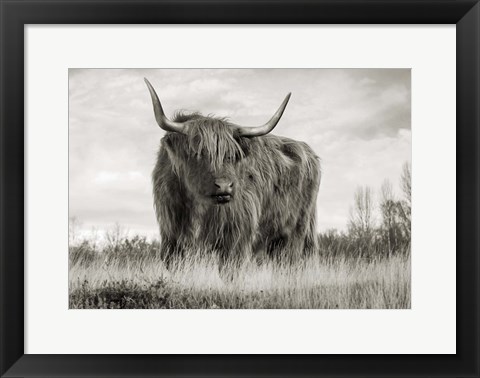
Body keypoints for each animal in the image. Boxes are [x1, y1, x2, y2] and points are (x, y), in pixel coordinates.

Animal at [144, 78, 320, 264]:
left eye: (232, 155)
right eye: (197, 153)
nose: (224, 186)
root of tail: (307, 151)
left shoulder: (236, 238)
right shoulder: (171, 238)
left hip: (295, 232)